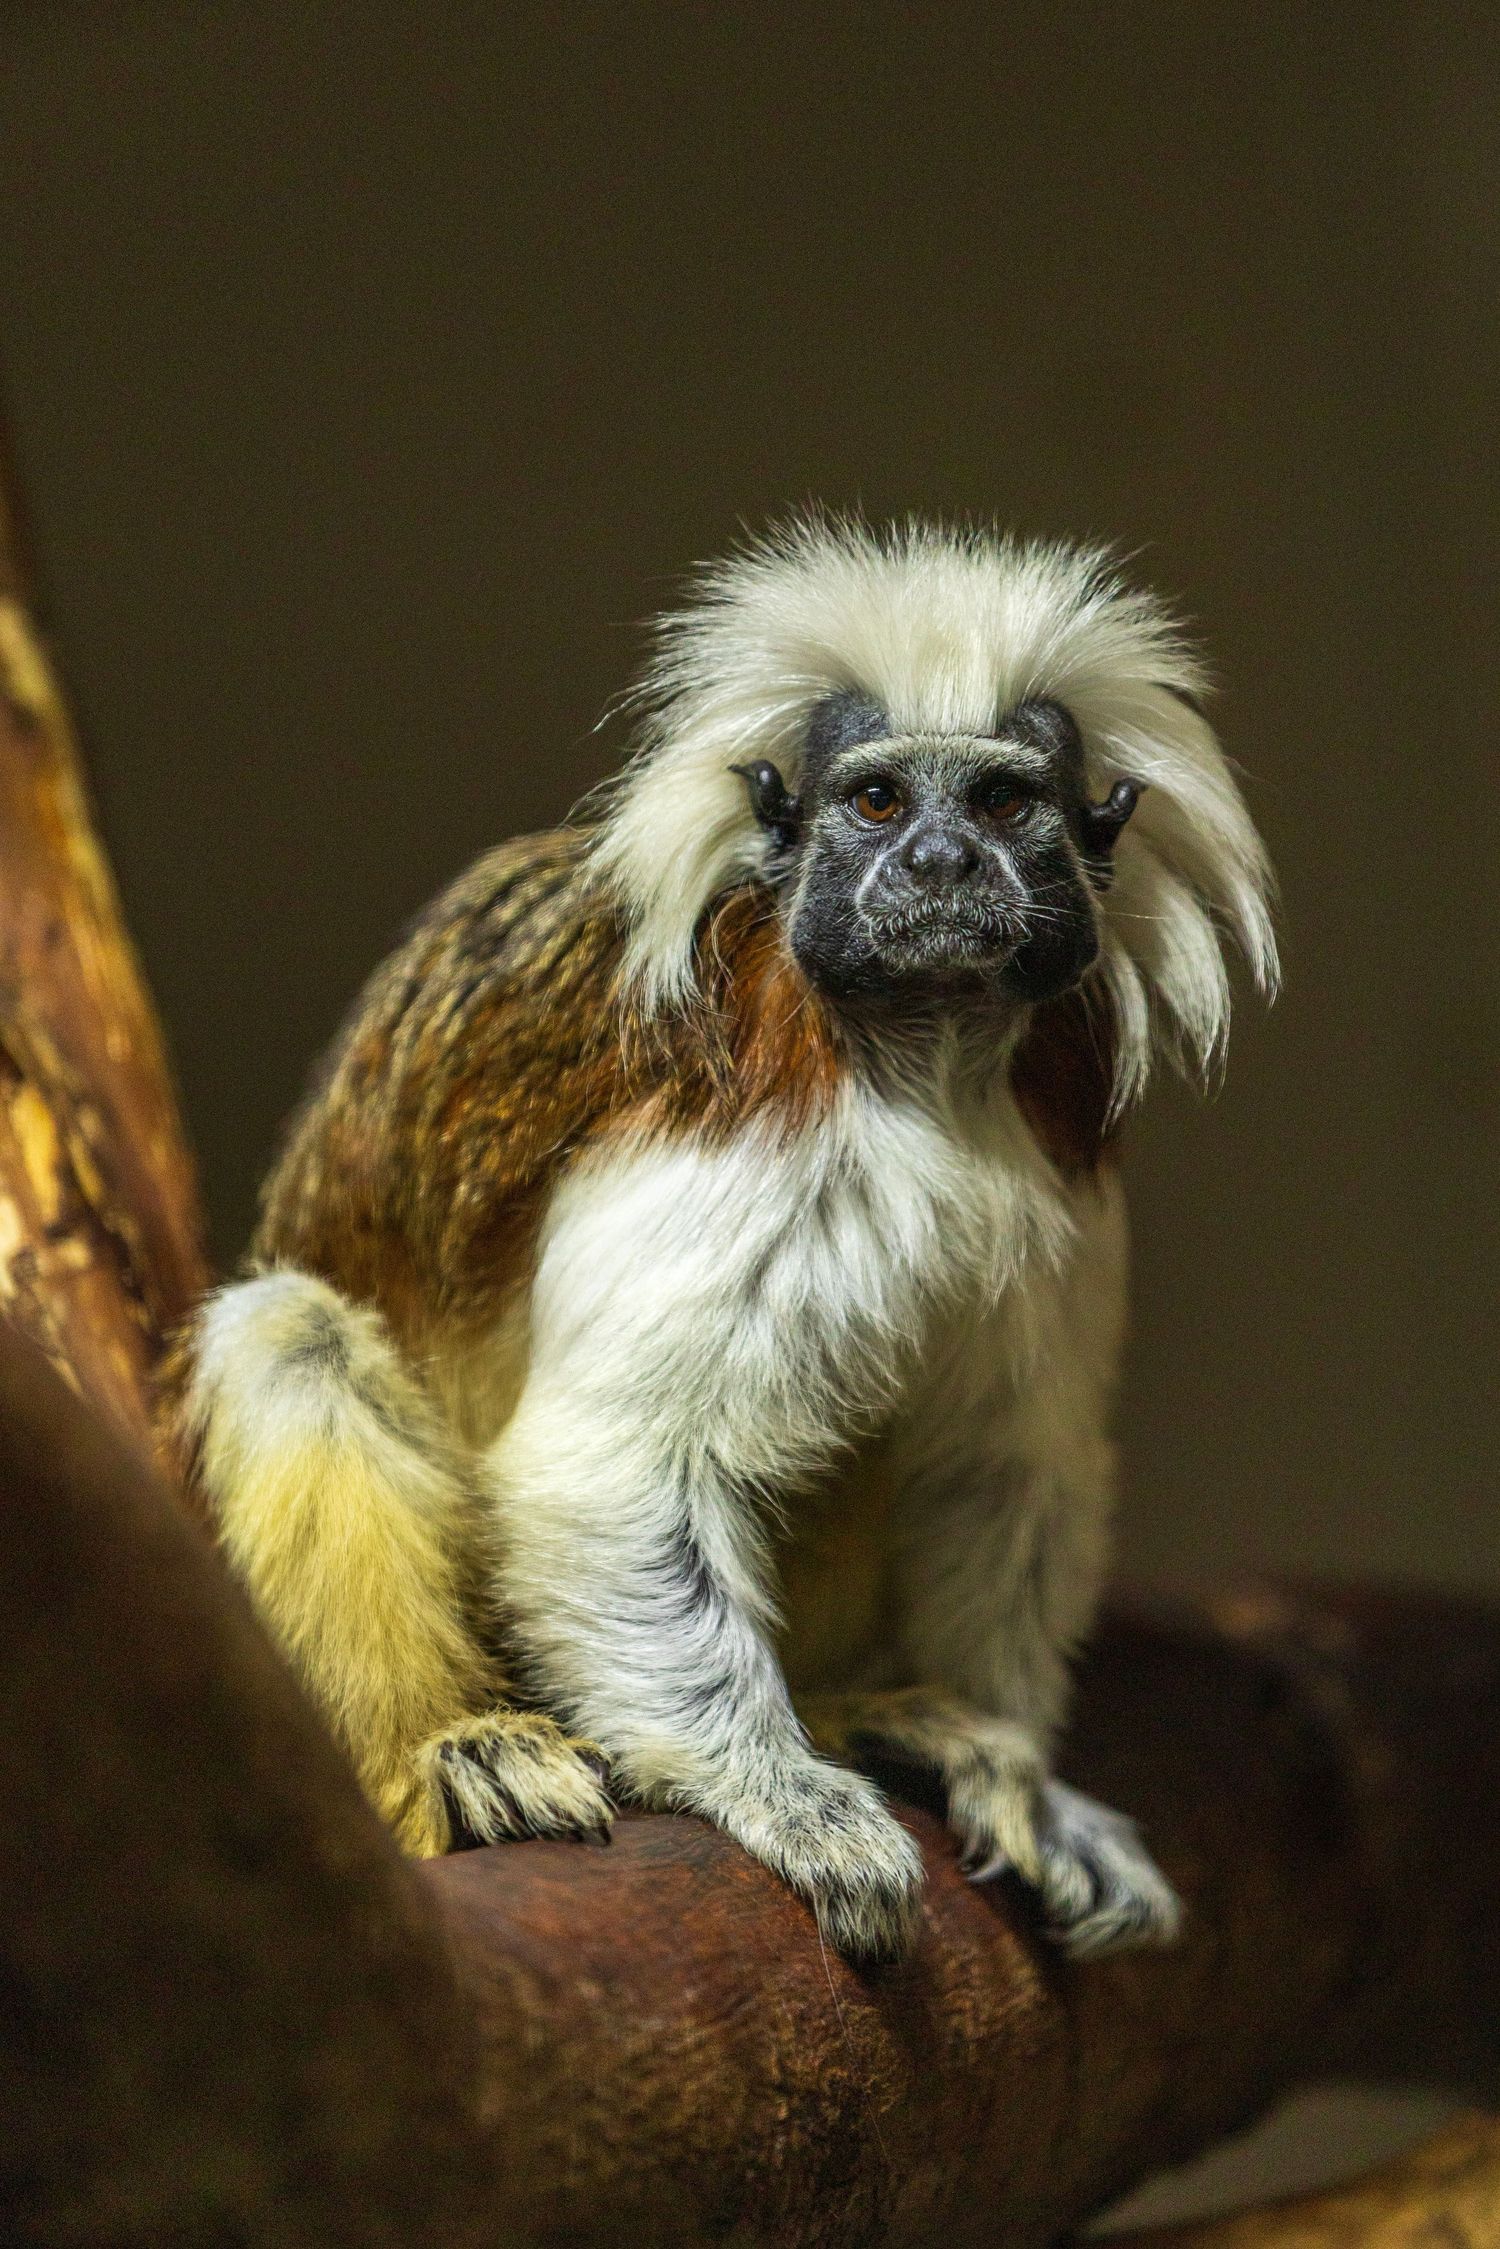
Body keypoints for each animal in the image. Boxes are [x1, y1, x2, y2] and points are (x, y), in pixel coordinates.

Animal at [165, 515, 1277, 1963]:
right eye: (878, 803)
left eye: (999, 804)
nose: (938, 867)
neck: (924, 1060)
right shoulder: (740, 1121)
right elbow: (617, 1462)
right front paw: (772, 1786)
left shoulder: (1059, 1143)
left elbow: (999, 1462)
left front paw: (1022, 1777)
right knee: (287, 1332)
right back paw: (453, 1749)